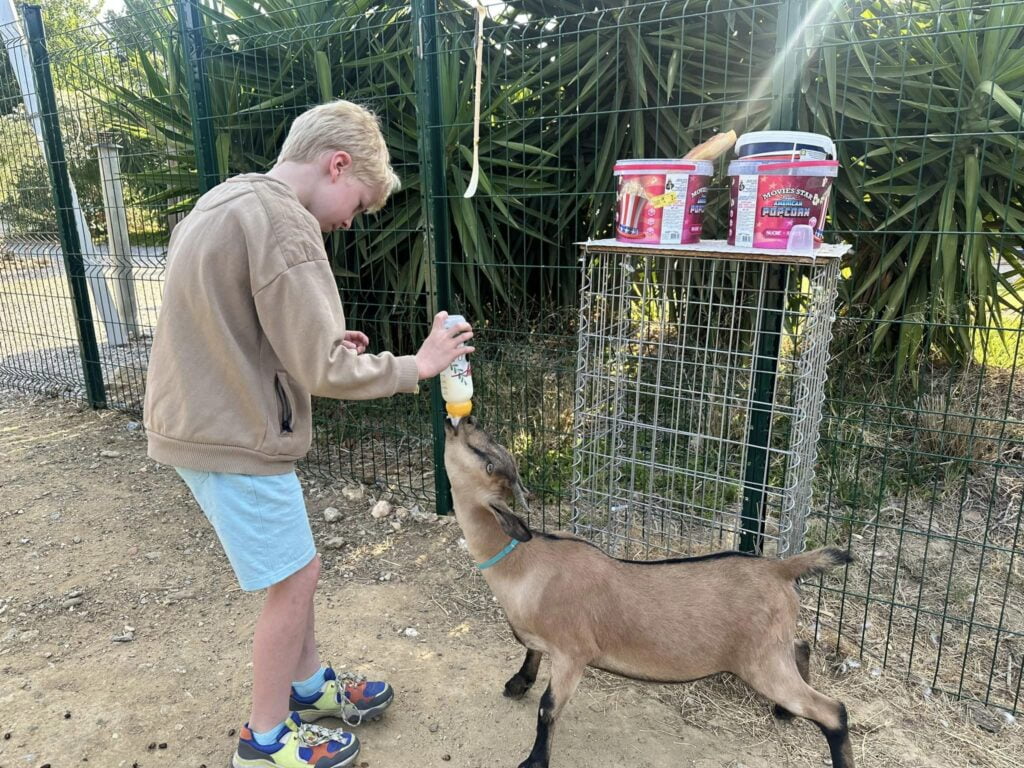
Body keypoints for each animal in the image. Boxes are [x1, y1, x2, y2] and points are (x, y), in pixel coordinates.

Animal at [444, 417, 851, 768]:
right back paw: (783, 711)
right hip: (771, 649)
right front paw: (516, 684)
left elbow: (548, 708)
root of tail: (780, 568)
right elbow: (530, 654)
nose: (462, 421)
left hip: (760, 662)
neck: (525, 561)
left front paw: (534, 761)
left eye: (485, 460)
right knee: (801, 646)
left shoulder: (573, 652)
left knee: (833, 711)